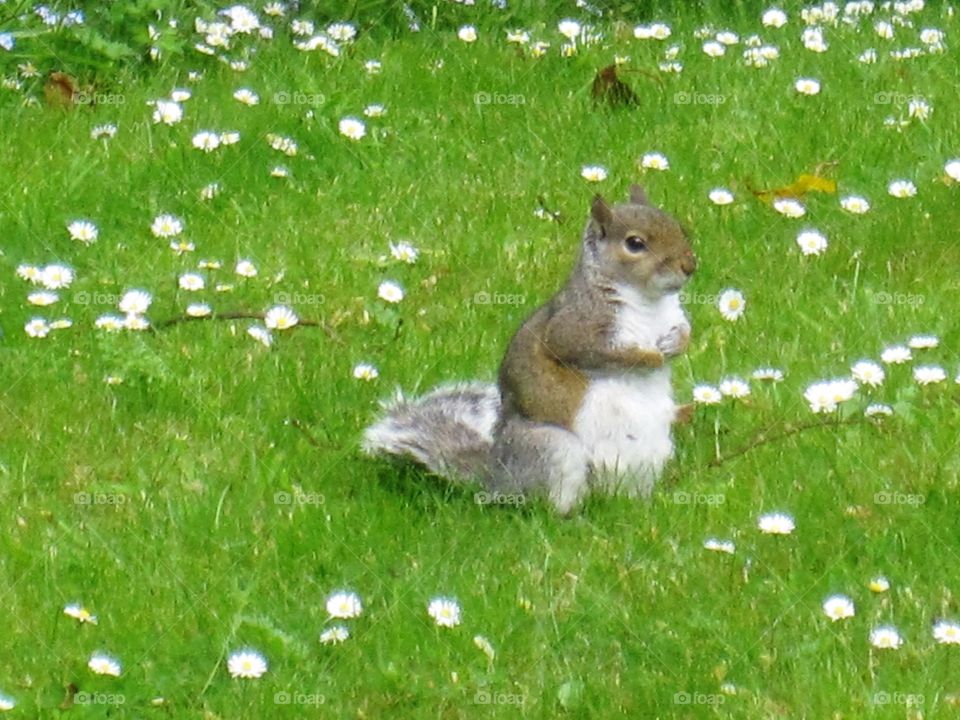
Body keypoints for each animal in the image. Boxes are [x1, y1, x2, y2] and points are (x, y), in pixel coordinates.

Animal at [362, 185, 697, 513]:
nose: (690, 266)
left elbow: (685, 331)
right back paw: (571, 517)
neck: (648, 302)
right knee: (549, 503)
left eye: (678, 226)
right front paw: (650, 356)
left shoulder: (673, 316)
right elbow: (598, 351)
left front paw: (675, 344)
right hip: (554, 449)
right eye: (635, 243)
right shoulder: (573, 327)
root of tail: (499, 478)